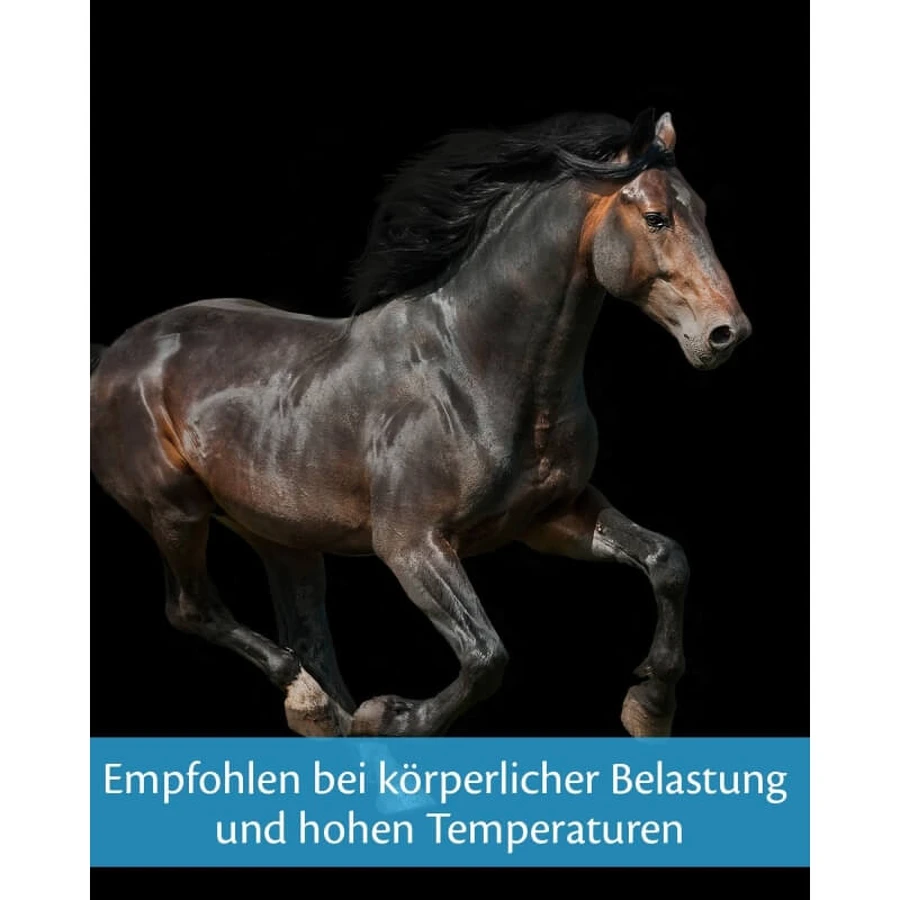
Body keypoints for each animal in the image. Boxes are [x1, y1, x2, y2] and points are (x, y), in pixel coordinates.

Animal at [90, 108, 751, 739]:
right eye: (657, 218)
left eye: (703, 209)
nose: (727, 334)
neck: (471, 369)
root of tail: (116, 354)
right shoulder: (410, 543)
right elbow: (486, 656)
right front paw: (392, 715)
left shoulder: (553, 517)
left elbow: (667, 561)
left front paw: (649, 709)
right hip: (175, 511)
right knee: (195, 610)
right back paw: (311, 700)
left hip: (282, 537)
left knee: (305, 636)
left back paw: (325, 713)